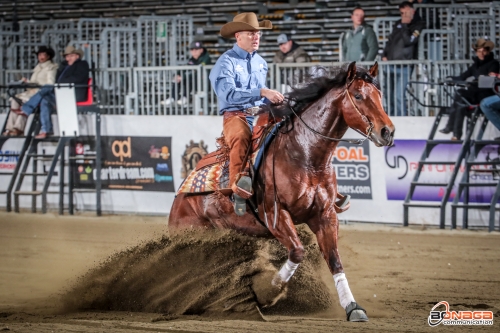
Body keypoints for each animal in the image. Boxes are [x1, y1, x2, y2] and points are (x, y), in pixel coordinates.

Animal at [170, 61, 396, 320]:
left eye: (380, 95)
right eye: (358, 95)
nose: (387, 132)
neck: (305, 156)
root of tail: (180, 196)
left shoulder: (325, 215)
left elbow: (335, 260)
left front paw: (353, 307)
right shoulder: (275, 215)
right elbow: (297, 251)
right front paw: (268, 292)